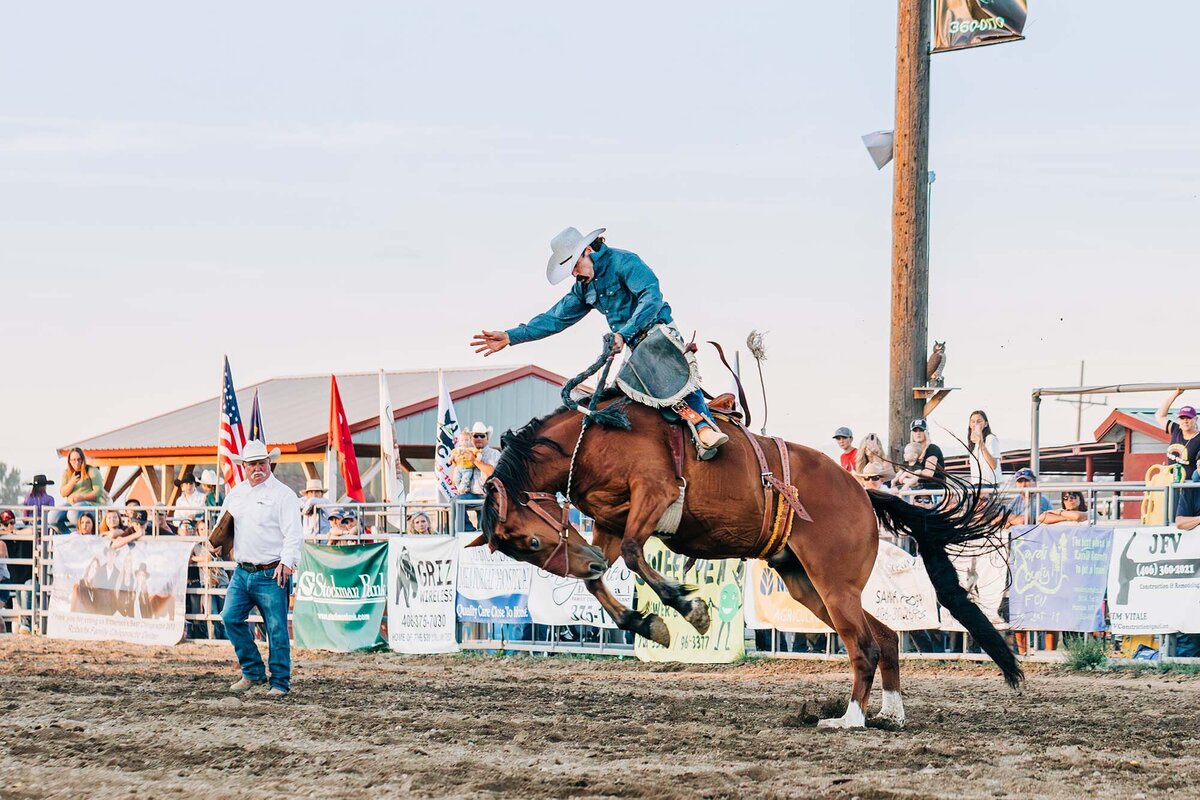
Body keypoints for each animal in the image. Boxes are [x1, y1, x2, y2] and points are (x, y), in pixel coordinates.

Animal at [468, 395, 1022, 734]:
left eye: (528, 541)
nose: (577, 564)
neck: (597, 439)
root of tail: (863, 492)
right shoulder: (607, 520)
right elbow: (607, 574)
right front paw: (647, 624)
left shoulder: (654, 495)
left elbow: (631, 554)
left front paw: (689, 609)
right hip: (808, 586)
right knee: (883, 636)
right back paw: (891, 714)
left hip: (834, 584)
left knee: (863, 646)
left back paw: (849, 719)